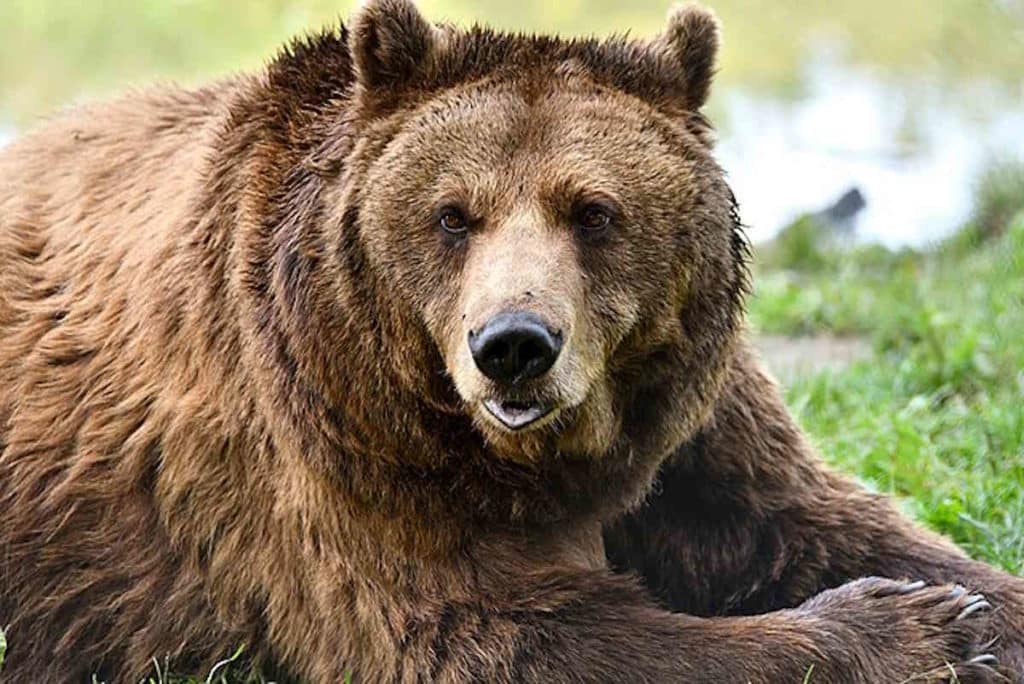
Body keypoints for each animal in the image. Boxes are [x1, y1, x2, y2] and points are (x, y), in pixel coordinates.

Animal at [0, 0, 1022, 681]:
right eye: (453, 214)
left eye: (594, 211)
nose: (516, 344)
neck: (546, 460)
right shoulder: (338, 449)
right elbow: (504, 631)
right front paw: (922, 632)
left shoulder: (685, 418)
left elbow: (808, 518)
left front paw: (974, 604)